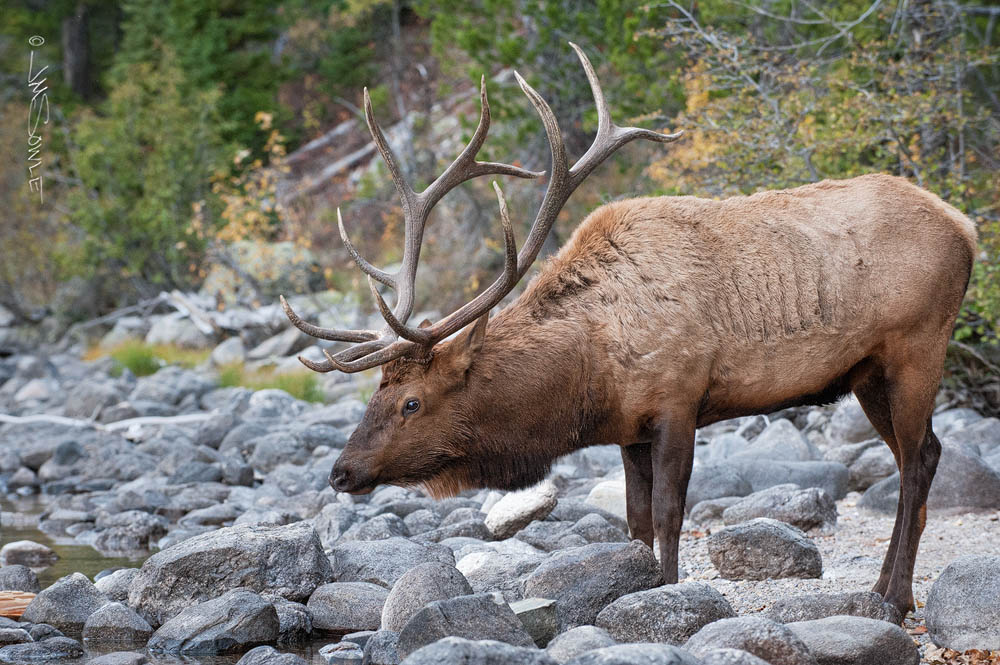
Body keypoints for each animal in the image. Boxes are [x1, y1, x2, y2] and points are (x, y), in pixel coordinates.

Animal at [280, 43, 978, 618]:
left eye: (411, 402)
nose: (341, 472)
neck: (589, 371)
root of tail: (966, 226)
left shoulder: (678, 399)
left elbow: (669, 515)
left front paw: (670, 594)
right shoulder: (629, 429)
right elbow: (636, 522)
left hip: (917, 346)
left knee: (919, 460)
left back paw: (894, 599)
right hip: (867, 374)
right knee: (921, 455)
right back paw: (885, 590)